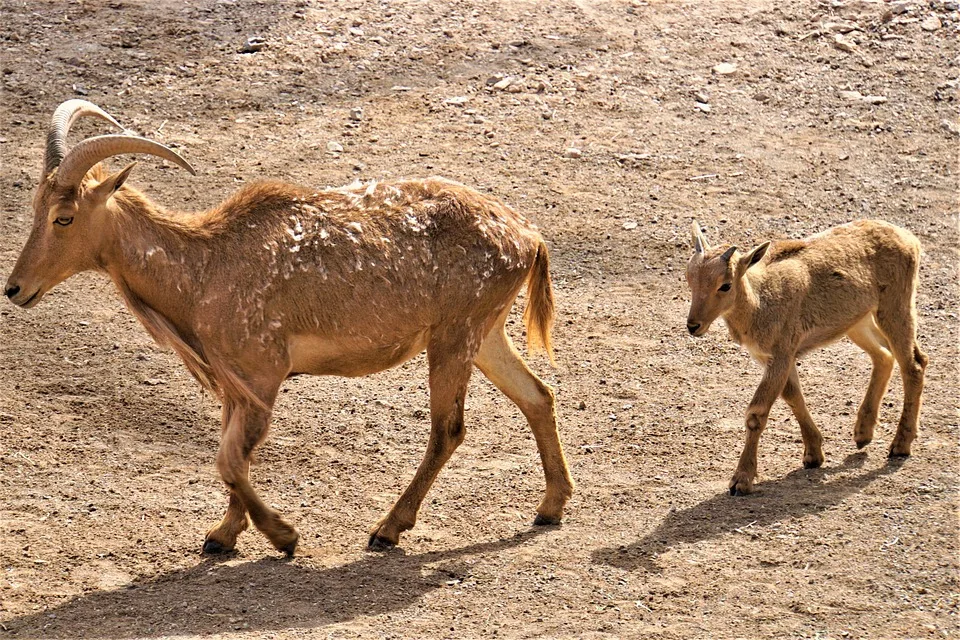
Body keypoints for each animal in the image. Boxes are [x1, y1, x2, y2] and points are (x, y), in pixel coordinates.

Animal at [3, 100, 572, 556]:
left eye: (64, 216)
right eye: (36, 208)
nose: (14, 288)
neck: (204, 266)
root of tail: (528, 235)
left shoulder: (263, 372)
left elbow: (230, 462)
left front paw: (283, 536)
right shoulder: (235, 383)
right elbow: (231, 456)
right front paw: (223, 536)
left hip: (455, 335)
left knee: (448, 428)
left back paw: (388, 528)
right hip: (485, 334)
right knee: (538, 395)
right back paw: (551, 506)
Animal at [688, 220, 928, 496]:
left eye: (725, 285)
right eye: (690, 277)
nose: (693, 325)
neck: (760, 303)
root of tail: (909, 238)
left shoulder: (781, 353)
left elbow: (757, 413)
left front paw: (741, 481)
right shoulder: (775, 357)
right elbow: (794, 397)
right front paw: (814, 454)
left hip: (895, 307)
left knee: (913, 364)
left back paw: (900, 445)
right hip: (857, 321)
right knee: (884, 356)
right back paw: (863, 433)